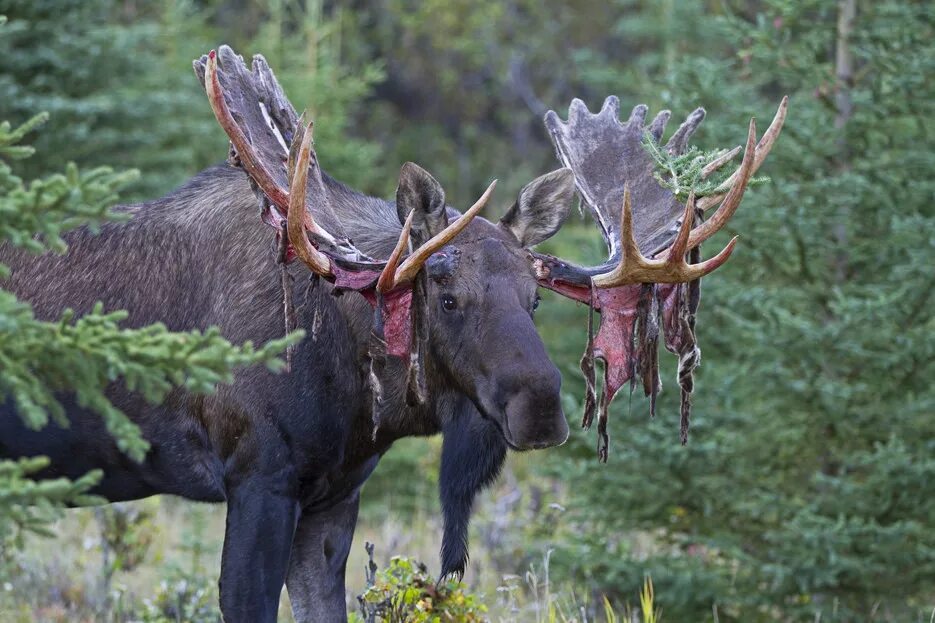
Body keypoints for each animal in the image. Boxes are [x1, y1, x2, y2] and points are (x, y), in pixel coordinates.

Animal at [0, 45, 788, 623]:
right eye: (446, 292)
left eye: (536, 297)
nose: (540, 406)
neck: (349, 379)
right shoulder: (257, 478)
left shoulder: (333, 498)